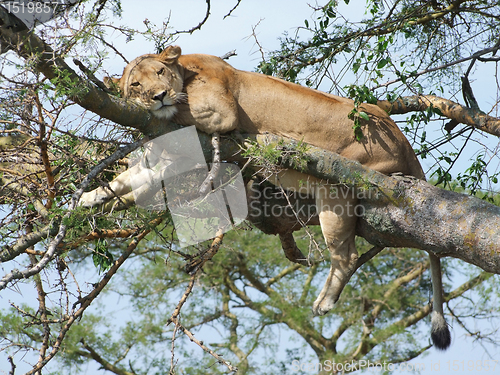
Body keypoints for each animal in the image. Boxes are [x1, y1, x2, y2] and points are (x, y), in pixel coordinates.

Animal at [80, 45, 452, 352]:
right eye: (135, 85)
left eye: (160, 73)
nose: (158, 96)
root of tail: (407, 149)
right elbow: (128, 180)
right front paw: (90, 199)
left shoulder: (219, 113)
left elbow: (172, 127)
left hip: (336, 187)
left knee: (346, 255)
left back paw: (324, 302)